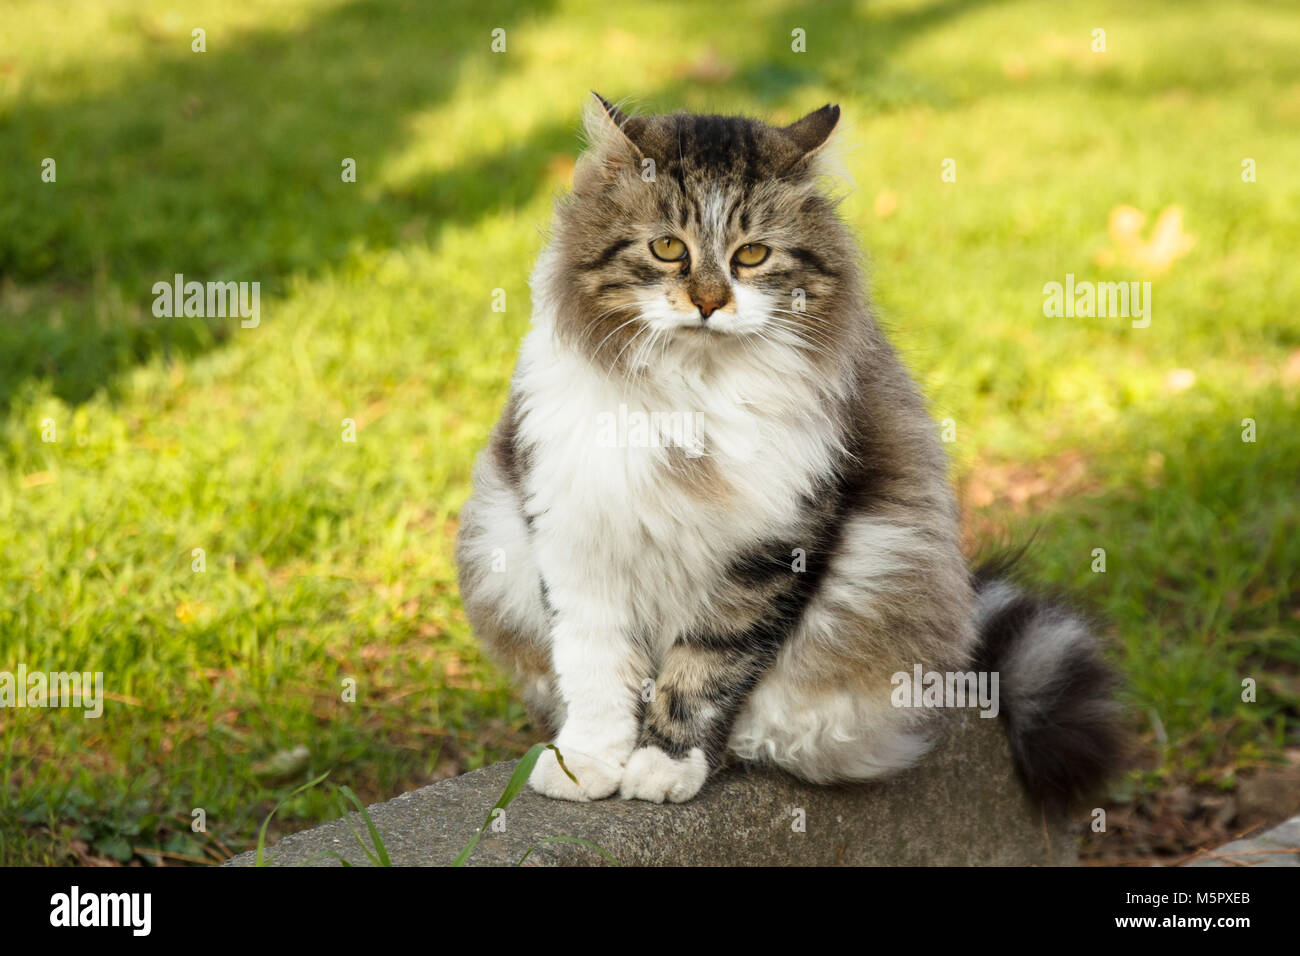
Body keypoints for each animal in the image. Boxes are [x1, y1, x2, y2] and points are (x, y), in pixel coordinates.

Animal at [452, 93, 1123, 806]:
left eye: (751, 255)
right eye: (667, 248)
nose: (709, 302)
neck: (691, 395)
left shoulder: (773, 548)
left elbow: (706, 669)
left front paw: (665, 764)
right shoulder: (576, 533)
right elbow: (594, 670)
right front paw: (586, 765)